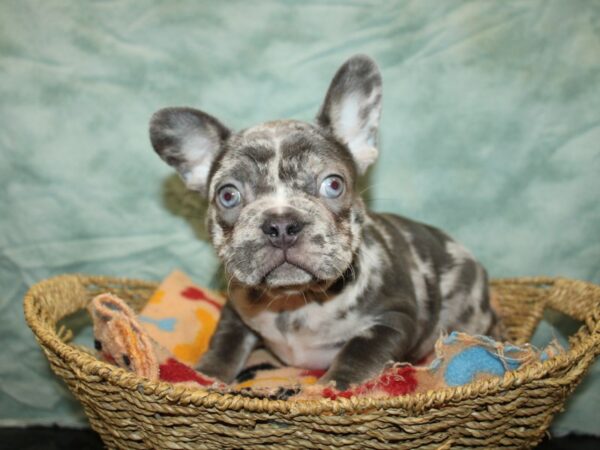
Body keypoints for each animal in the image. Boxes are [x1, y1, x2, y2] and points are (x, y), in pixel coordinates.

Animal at [150, 54, 502, 388]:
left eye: (333, 185)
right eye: (228, 195)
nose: (281, 225)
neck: (294, 301)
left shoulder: (392, 319)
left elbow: (358, 352)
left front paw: (334, 385)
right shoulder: (235, 314)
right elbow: (224, 345)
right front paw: (203, 376)